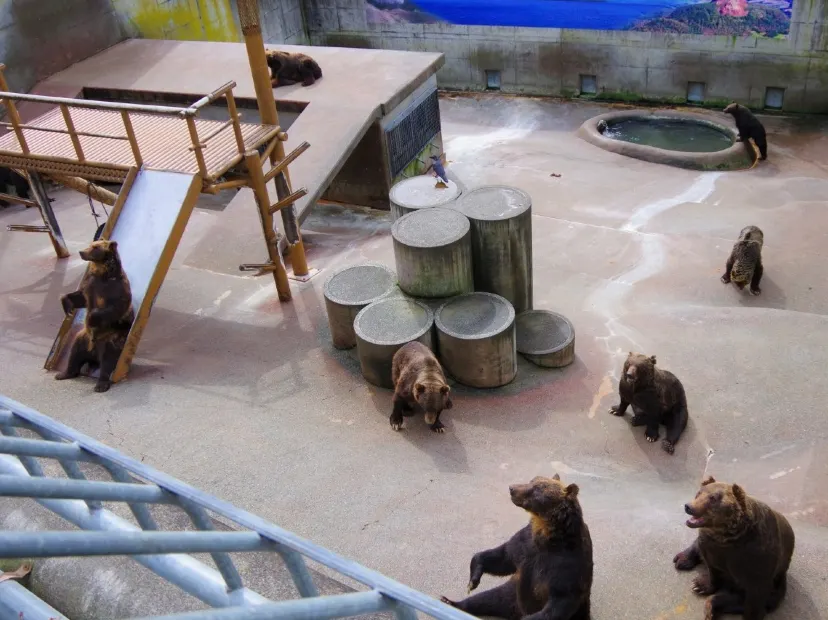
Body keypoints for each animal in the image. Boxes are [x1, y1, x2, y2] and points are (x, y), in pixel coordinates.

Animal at [56, 240, 134, 393]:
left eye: (96, 247)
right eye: (91, 244)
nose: (81, 252)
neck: (102, 274)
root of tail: (93, 354)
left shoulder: (116, 289)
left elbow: (115, 308)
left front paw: (91, 317)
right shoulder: (90, 284)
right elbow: (81, 297)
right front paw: (66, 304)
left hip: (110, 340)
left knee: (107, 362)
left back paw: (101, 384)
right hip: (82, 338)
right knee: (74, 354)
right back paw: (63, 373)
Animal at [440, 474, 593, 620]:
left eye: (538, 488)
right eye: (532, 480)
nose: (512, 488)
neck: (547, 534)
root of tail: (514, 612)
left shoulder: (565, 563)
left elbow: (560, 601)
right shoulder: (526, 544)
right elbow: (503, 557)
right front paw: (472, 581)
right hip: (512, 593)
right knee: (487, 598)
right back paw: (451, 602)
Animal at [673, 475, 795, 620]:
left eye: (713, 498)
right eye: (698, 493)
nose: (688, 506)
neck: (727, 537)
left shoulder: (756, 558)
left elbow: (756, 596)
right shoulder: (713, 547)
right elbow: (712, 568)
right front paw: (700, 585)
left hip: (778, 581)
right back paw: (683, 560)